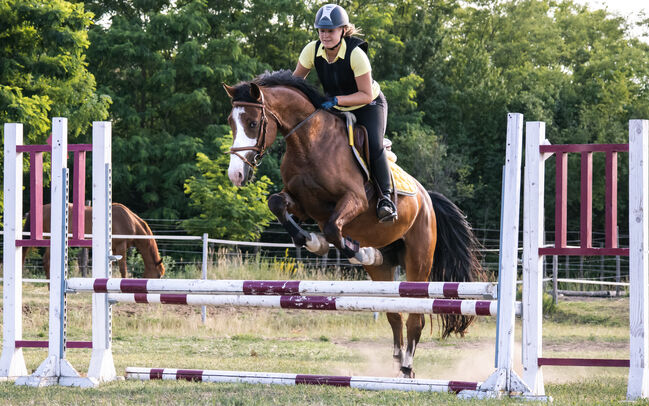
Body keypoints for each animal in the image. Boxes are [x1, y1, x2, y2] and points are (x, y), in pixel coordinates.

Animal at [24, 203, 167, 280]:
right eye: (158, 275)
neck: (130, 221)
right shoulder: (121, 246)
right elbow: (123, 269)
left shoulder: (113, 249)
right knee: (46, 261)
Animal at [223, 69, 486, 378]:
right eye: (231, 122)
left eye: (253, 123)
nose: (236, 175)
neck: (308, 142)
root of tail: (427, 198)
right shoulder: (303, 205)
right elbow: (277, 204)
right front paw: (312, 242)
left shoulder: (354, 200)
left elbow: (332, 228)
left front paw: (348, 249)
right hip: (385, 270)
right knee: (394, 312)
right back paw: (397, 356)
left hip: (419, 260)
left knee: (415, 317)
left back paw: (407, 365)